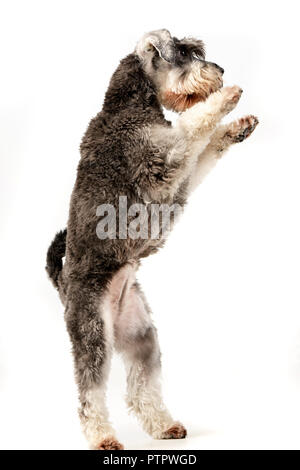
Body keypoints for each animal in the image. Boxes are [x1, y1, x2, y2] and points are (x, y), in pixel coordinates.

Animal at [46, 30, 258, 452]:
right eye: (185, 52)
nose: (220, 70)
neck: (128, 104)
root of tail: (61, 283)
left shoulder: (179, 175)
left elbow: (206, 146)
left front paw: (239, 126)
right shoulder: (162, 162)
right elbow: (194, 126)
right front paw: (227, 98)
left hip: (141, 333)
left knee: (140, 387)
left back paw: (164, 425)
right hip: (93, 333)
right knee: (89, 393)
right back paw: (103, 438)